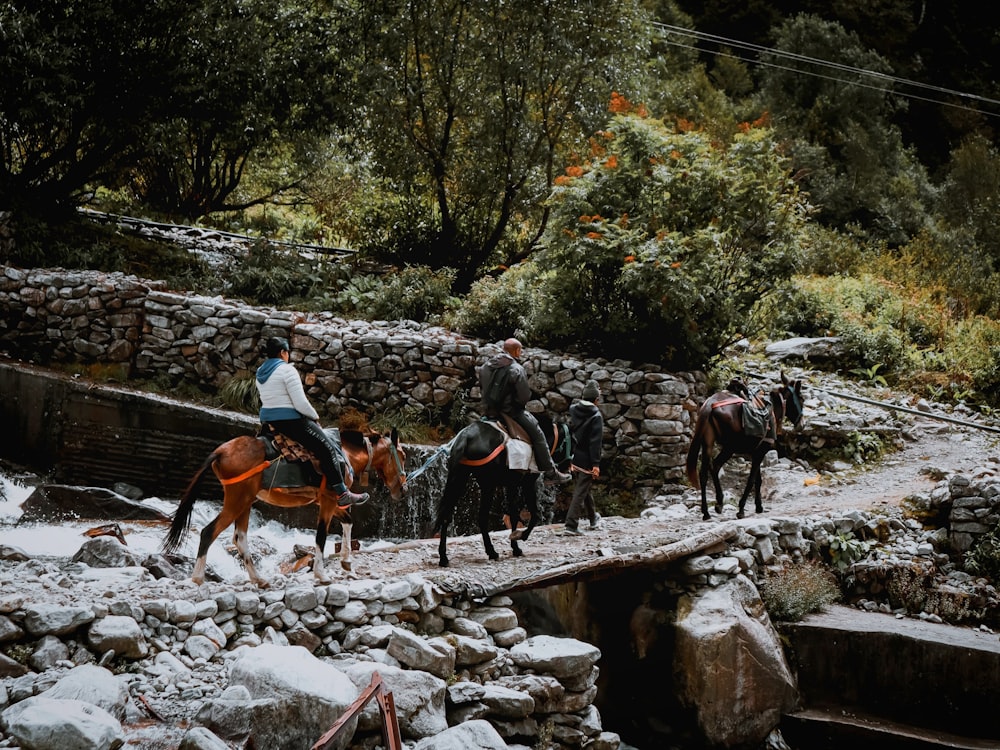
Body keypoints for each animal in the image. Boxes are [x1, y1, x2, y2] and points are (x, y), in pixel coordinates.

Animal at [162, 428, 404, 588]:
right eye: (402, 455)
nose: (402, 488)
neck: (344, 453)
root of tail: (221, 451)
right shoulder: (328, 500)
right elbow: (321, 536)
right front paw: (322, 575)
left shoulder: (326, 500)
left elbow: (347, 522)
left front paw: (346, 563)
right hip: (237, 500)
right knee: (208, 532)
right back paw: (197, 578)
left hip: (245, 501)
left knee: (240, 538)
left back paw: (259, 579)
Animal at [432, 414, 572, 568]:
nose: (568, 469)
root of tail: (466, 436)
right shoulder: (528, 483)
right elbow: (534, 514)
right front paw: (520, 538)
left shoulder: (511, 485)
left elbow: (513, 515)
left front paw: (515, 546)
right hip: (487, 485)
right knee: (482, 517)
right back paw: (491, 552)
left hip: (459, 479)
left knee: (447, 516)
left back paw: (444, 557)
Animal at [688, 374, 804, 524]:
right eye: (802, 398)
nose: (802, 425)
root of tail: (709, 404)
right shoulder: (761, 451)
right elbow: (751, 480)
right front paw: (742, 509)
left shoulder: (757, 452)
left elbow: (758, 480)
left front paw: (759, 506)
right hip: (729, 447)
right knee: (716, 466)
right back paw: (718, 503)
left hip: (708, 444)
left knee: (704, 473)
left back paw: (708, 511)